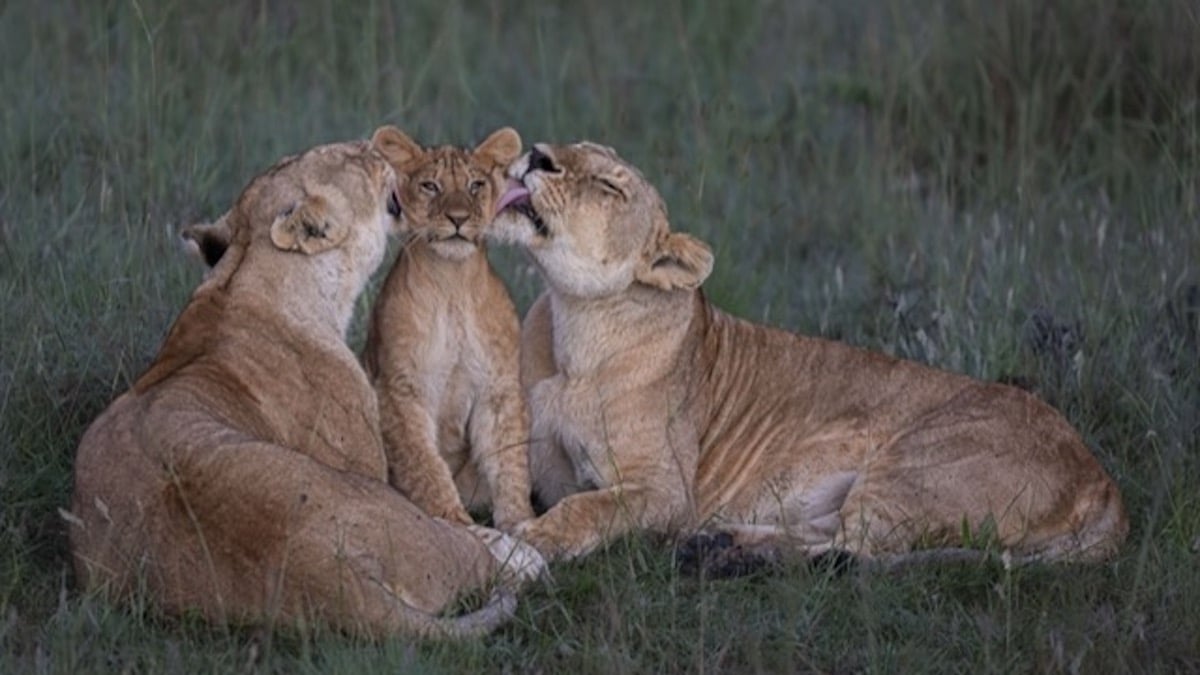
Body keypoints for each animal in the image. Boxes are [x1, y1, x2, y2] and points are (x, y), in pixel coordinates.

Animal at [360, 123, 535, 528]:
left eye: (475, 185)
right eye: (430, 186)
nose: (458, 218)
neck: (453, 286)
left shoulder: (498, 388)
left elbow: (510, 462)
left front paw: (520, 521)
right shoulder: (399, 390)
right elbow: (424, 463)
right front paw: (452, 519)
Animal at [487, 139, 1123, 564]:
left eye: (610, 187)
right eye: (571, 146)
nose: (538, 154)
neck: (574, 326)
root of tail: (1102, 480)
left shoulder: (667, 490)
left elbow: (590, 507)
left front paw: (537, 538)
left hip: (915, 465)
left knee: (854, 553)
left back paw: (718, 553)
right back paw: (722, 541)